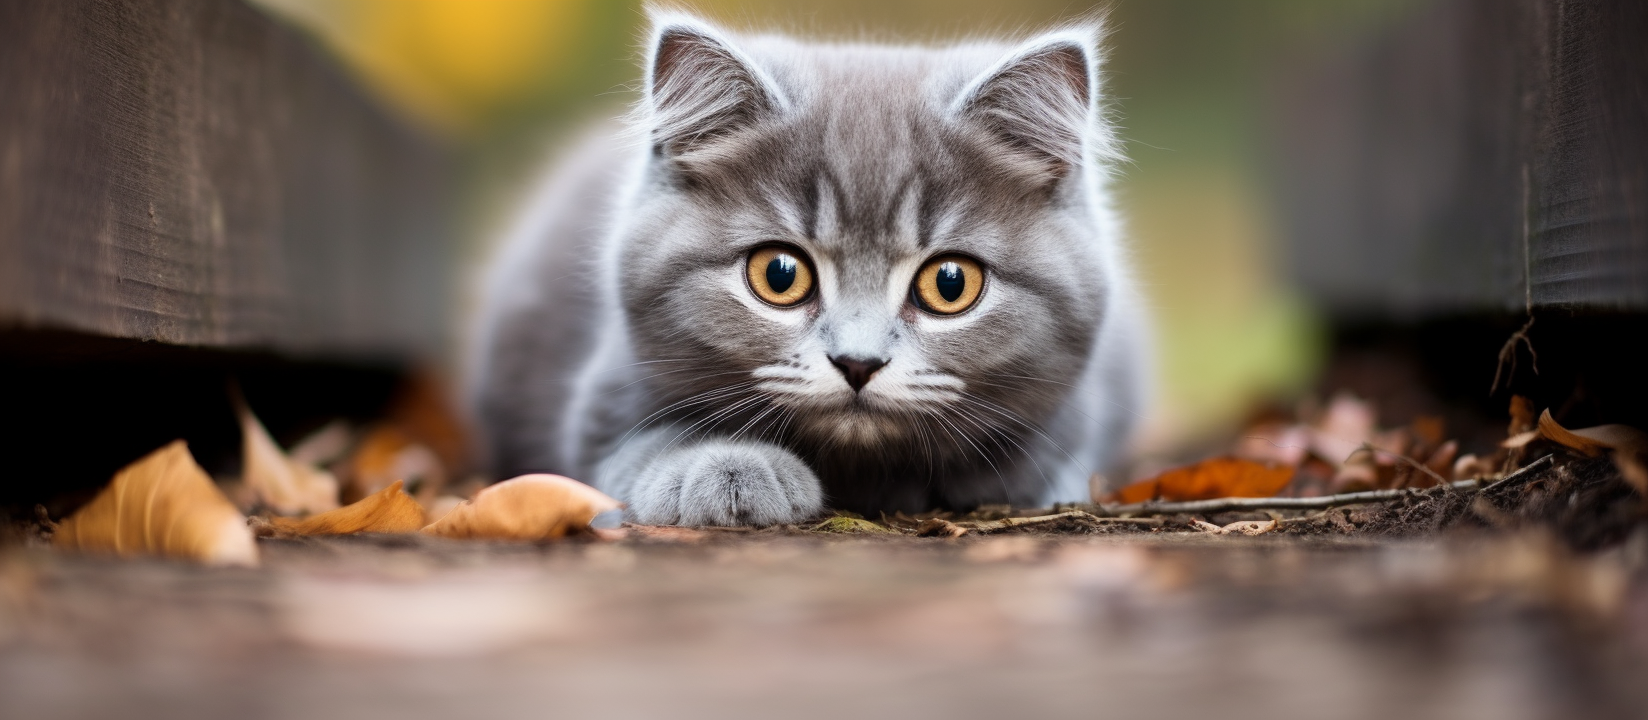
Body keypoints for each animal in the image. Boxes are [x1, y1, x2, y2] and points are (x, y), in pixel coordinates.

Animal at [468, 11, 1147, 523]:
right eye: (779, 275)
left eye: (950, 283)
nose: (858, 362)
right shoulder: (601, 401)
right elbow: (630, 449)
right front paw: (726, 469)